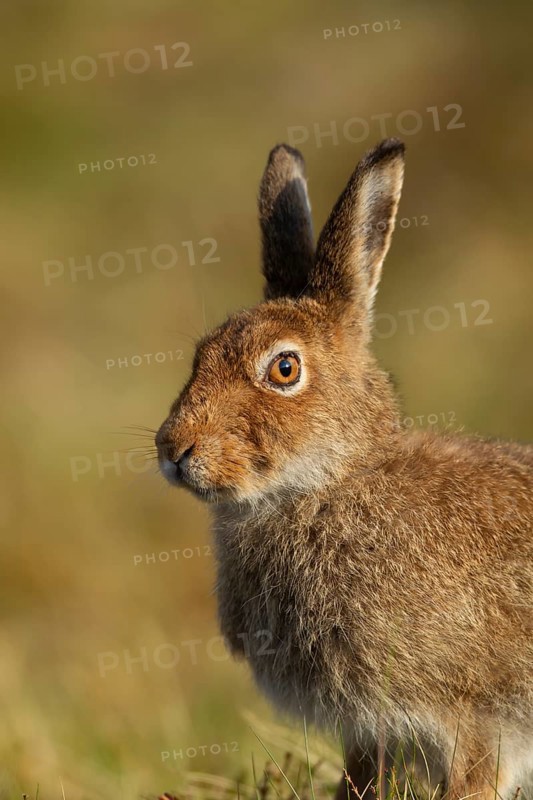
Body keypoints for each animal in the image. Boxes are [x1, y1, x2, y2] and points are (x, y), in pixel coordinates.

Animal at [155, 138, 533, 799]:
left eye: (284, 369)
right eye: (200, 355)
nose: (174, 449)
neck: (330, 483)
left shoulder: (478, 722)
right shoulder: (369, 729)